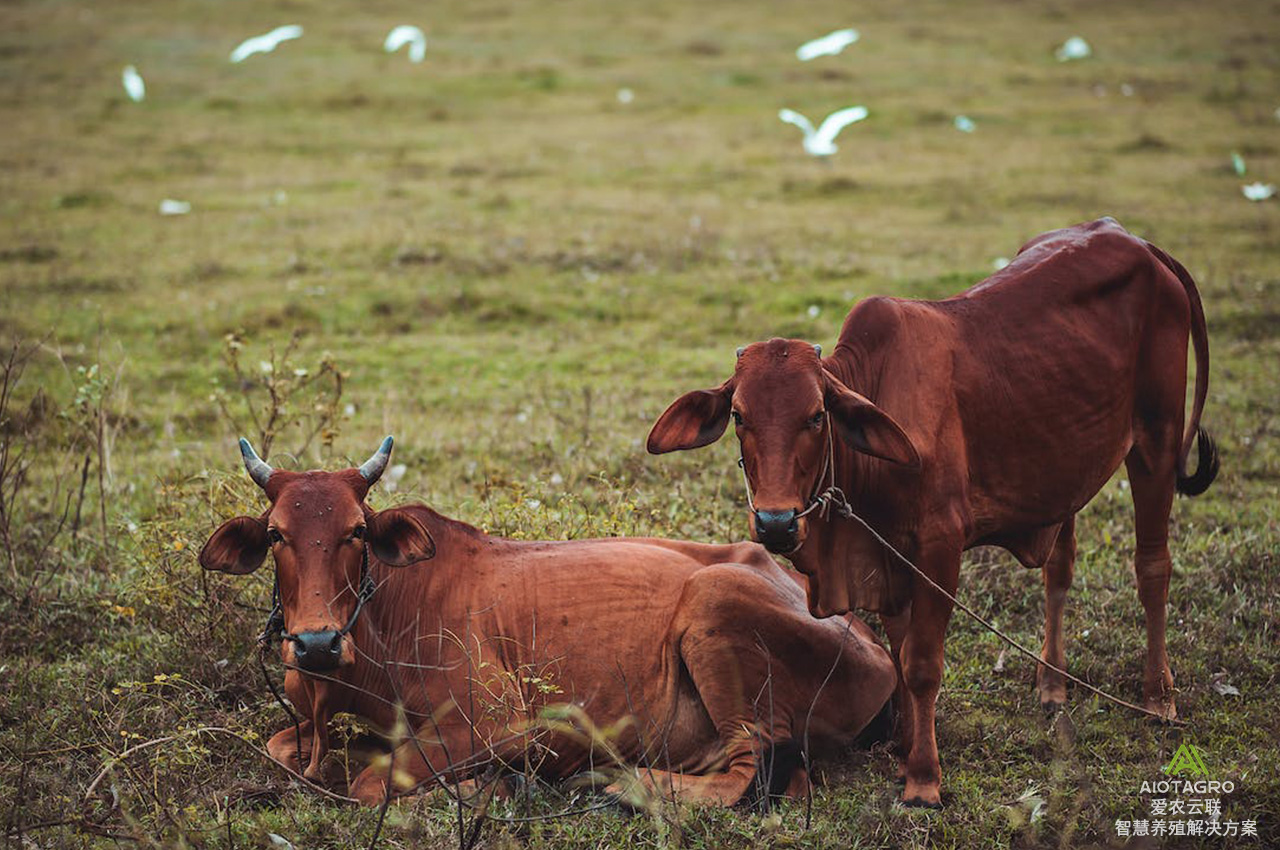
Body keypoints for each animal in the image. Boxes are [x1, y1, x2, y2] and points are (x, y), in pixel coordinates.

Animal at [202, 437, 901, 803]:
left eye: (355, 531)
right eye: (276, 534)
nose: (316, 643)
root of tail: (874, 643)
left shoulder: (496, 723)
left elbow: (370, 785)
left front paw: (480, 790)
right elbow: (286, 749)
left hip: (715, 601)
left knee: (746, 772)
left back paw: (623, 783)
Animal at [650, 216, 1218, 809]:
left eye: (816, 416)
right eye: (739, 415)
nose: (776, 522)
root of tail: (1136, 240)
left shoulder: (940, 548)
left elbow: (922, 664)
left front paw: (923, 779)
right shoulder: (889, 559)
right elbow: (901, 657)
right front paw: (903, 754)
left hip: (1156, 440)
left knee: (1152, 567)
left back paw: (1158, 697)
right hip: (1068, 465)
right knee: (1059, 570)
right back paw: (1052, 684)